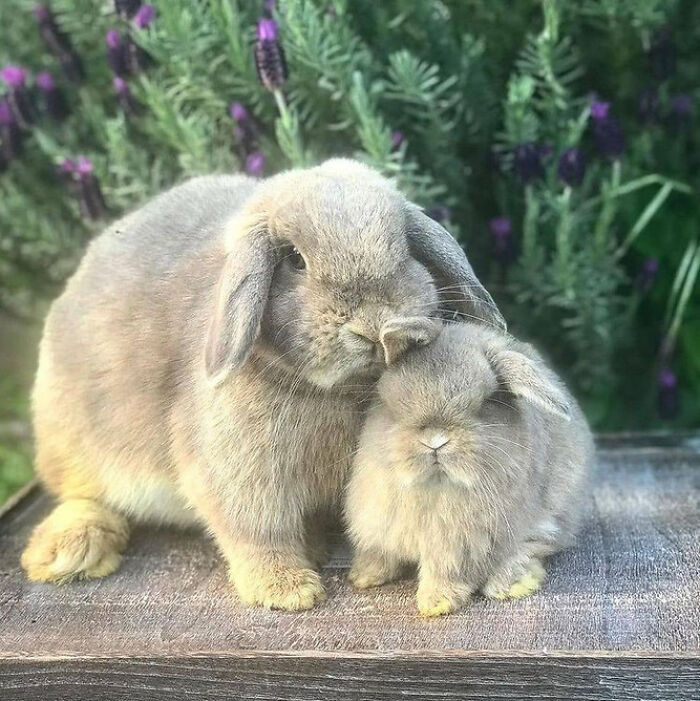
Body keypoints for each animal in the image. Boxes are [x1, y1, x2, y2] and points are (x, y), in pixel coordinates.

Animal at [21, 158, 505, 610]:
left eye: (405, 248)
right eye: (294, 259)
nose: (375, 327)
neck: (337, 390)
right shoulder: (239, 473)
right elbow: (256, 530)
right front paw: (288, 591)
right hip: (72, 440)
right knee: (81, 493)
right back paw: (68, 551)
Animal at [345, 318, 593, 616]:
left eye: (485, 403)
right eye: (393, 401)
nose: (436, 441)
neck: (436, 485)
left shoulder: (461, 545)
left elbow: (443, 572)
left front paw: (435, 604)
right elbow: (380, 552)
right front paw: (364, 576)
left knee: (537, 545)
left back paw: (510, 584)